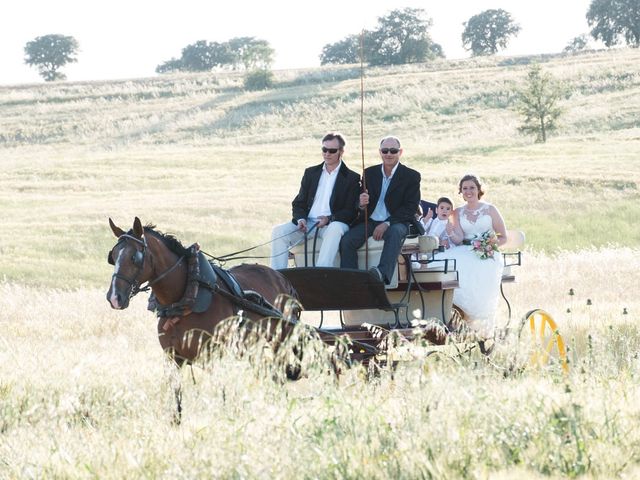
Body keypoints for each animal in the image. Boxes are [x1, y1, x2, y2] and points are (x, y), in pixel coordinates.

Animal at [106, 216, 302, 370]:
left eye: (135, 257)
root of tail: (281, 278)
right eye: (112, 257)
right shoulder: (173, 359)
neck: (185, 298)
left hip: (280, 341)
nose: (114, 297)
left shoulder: (212, 358)